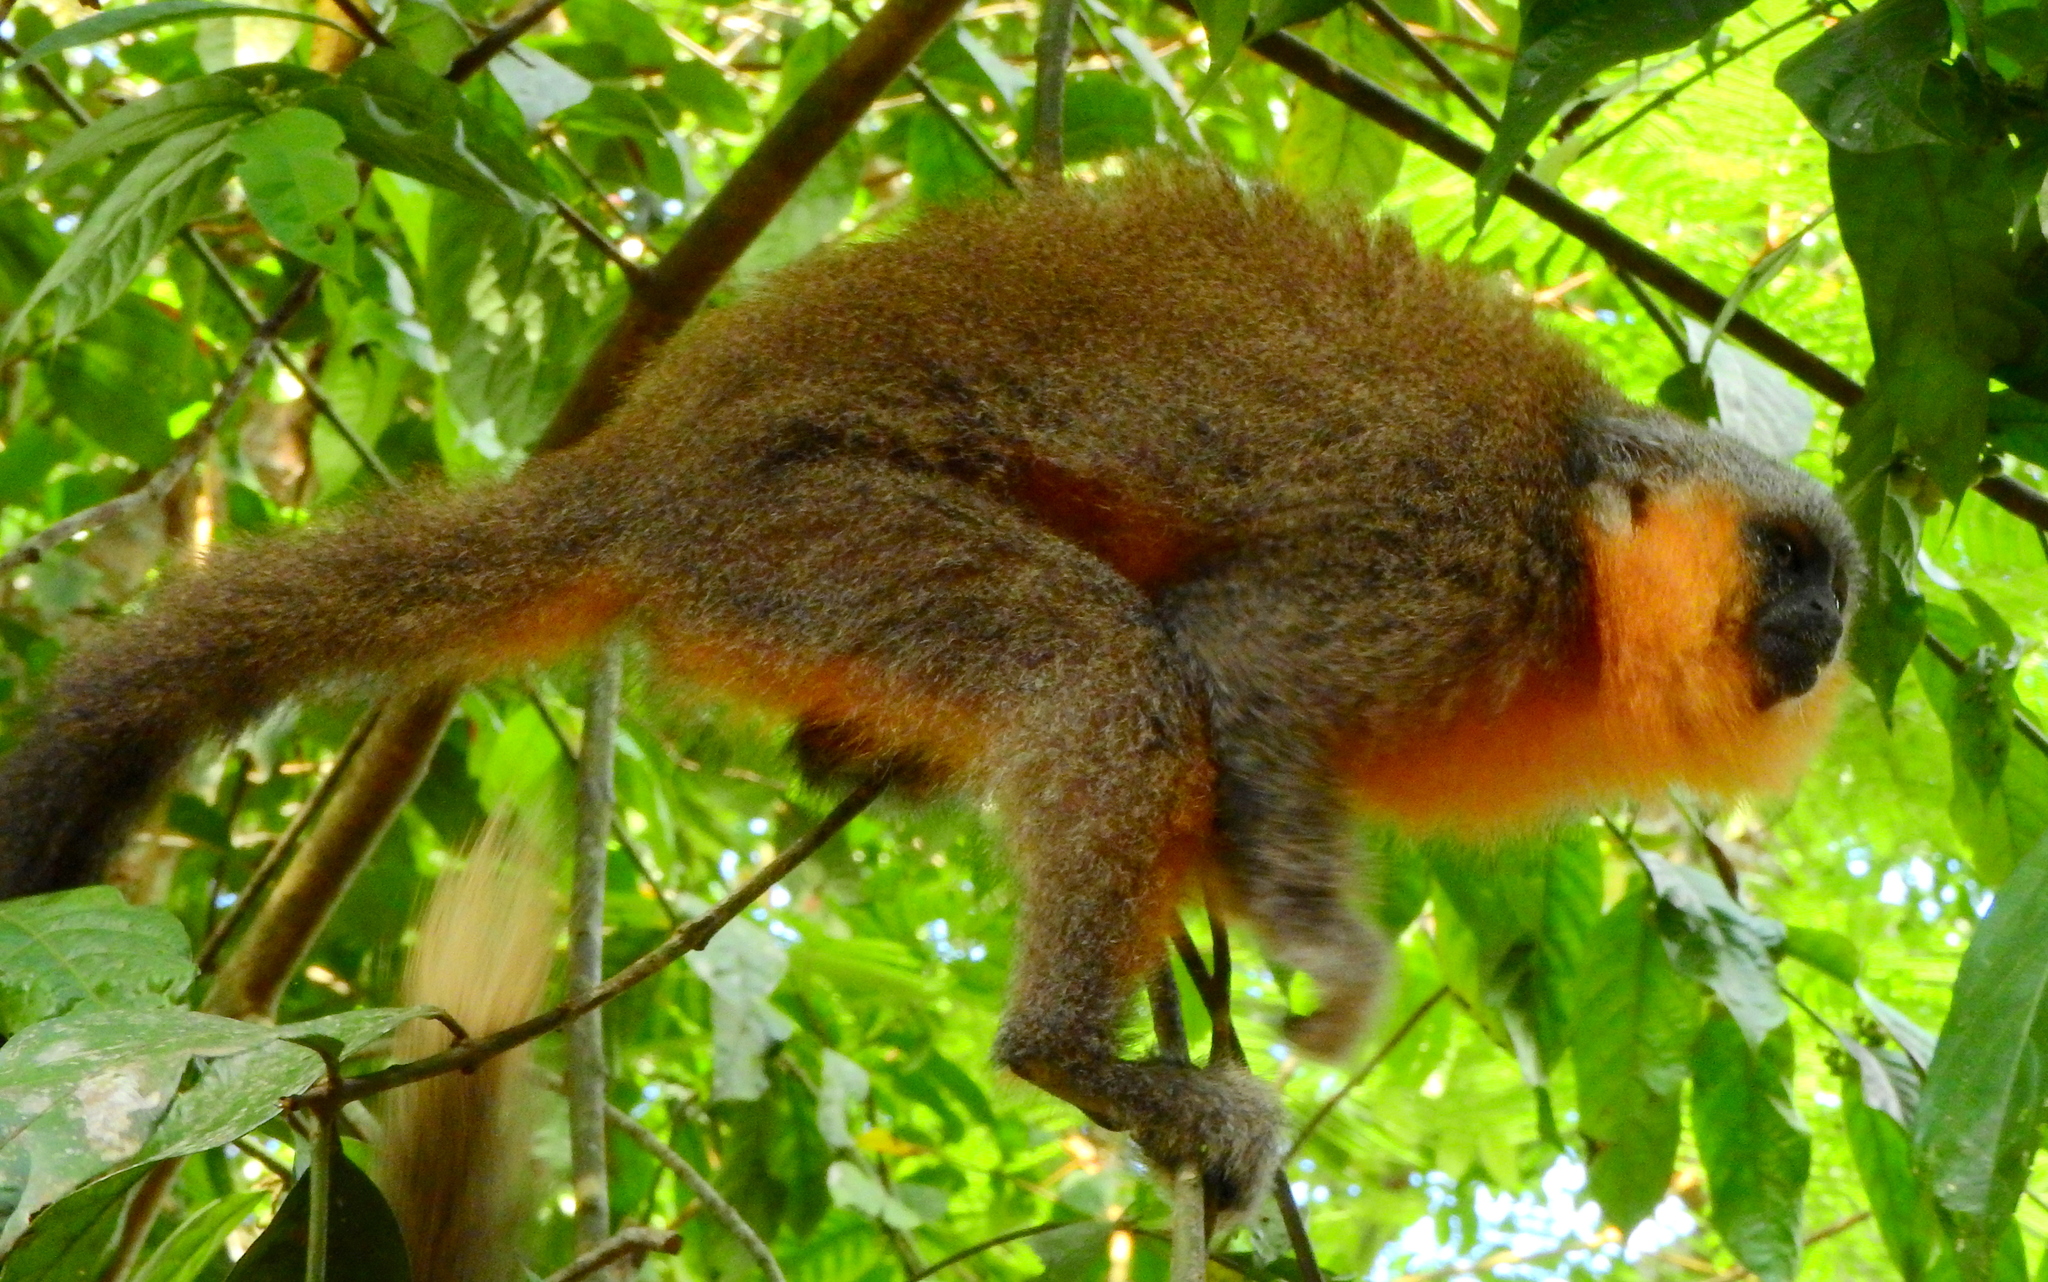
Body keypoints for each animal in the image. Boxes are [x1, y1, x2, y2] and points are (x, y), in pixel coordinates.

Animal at [0, 164, 1867, 1220]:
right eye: (1788, 558)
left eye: (1835, 584)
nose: (1827, 630)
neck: (1577, 577)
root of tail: (649, 462)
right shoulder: (1449, 562)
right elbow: (1229, 655)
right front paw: (1316, 954)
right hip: (796, 524)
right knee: (1099, 654)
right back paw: (1071, 1054)